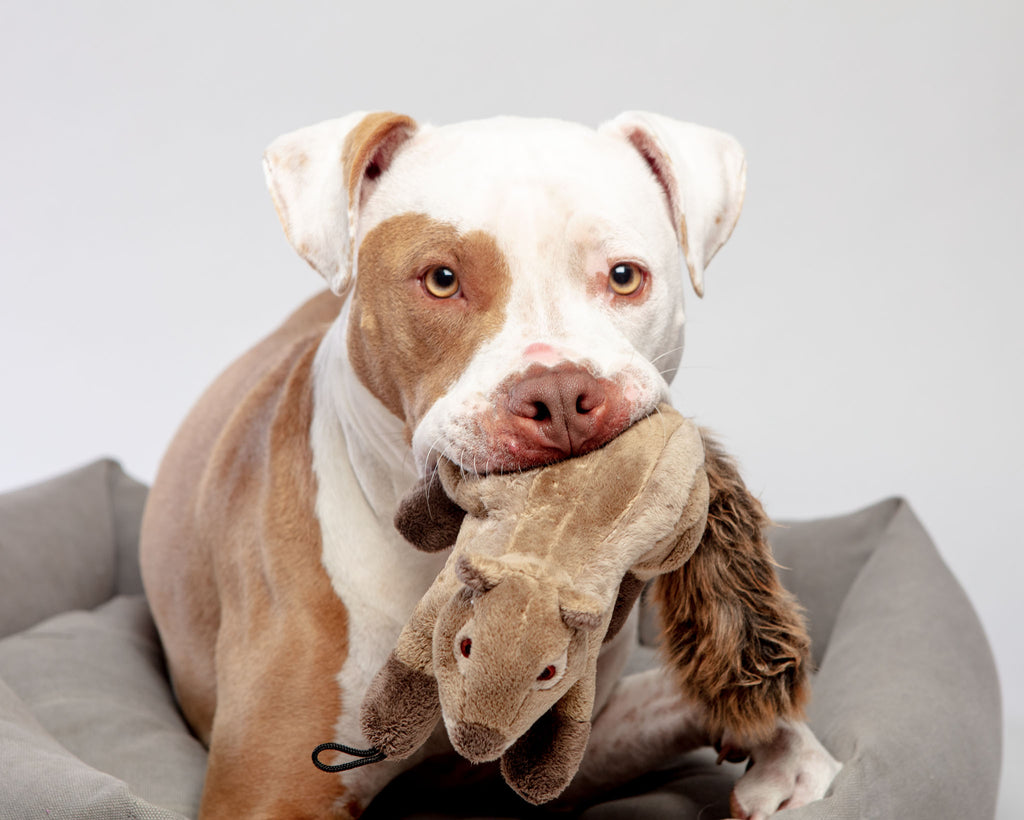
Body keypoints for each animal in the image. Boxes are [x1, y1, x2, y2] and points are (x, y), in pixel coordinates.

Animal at [140, 113, 843, 818]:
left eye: (623, 276)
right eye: (441, 279)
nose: (559, 395)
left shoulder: (553, 748)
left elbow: (683, 700)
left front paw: (789, 753)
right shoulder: (267, 794)